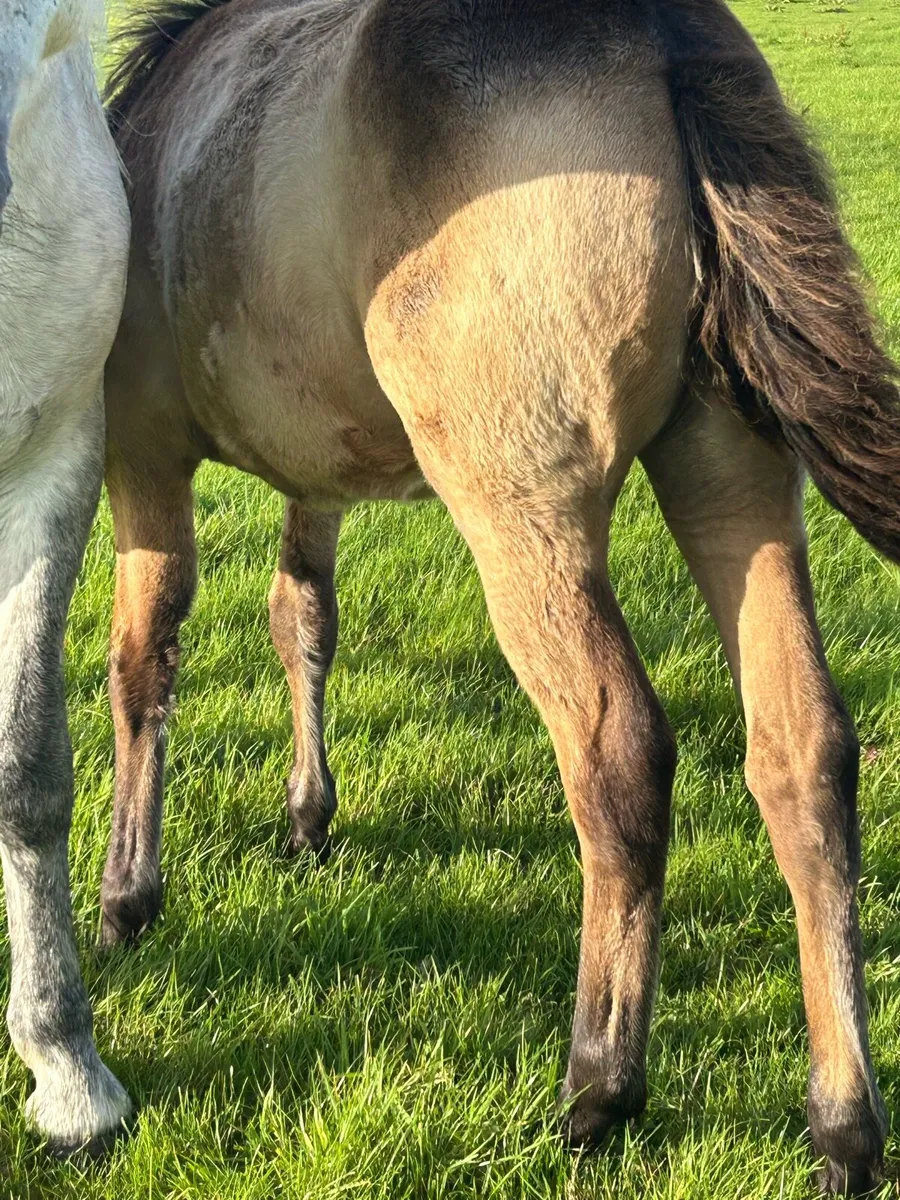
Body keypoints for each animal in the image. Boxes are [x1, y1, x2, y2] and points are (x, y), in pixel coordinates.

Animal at [103, 0, 899, 1190]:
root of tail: (662, 37)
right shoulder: (315, 474)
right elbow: (303, 621)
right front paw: (306, 817)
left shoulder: (142, 456)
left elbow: (140, 661)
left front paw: (125, 896)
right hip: (733, 478)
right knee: (803, 752)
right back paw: (843, 1127)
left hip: (525, 518)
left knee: (618, 755)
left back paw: (599, 1086)